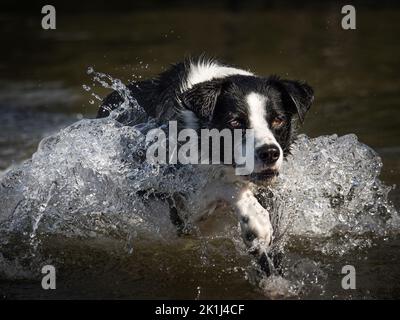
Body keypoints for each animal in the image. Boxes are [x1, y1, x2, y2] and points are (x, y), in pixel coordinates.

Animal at [96, 57, 312, 272]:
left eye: (278, 120)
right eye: (235, 122)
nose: (270, 153)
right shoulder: (182, 207)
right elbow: (224, 187)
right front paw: (256, 221)